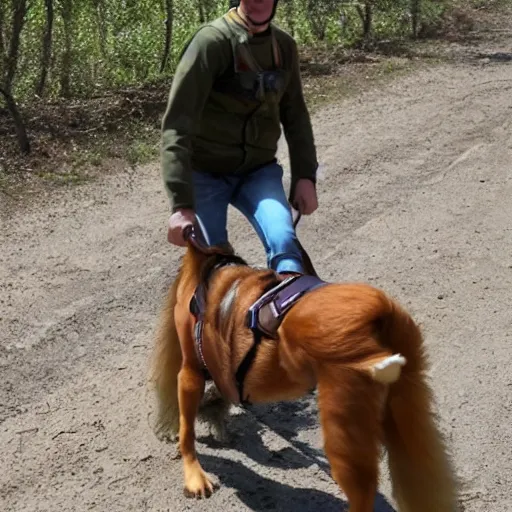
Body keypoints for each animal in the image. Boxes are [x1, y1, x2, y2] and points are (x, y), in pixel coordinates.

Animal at [149, 232, 460, 512]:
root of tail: (380, 310)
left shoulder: (190, 372)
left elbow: (187, 429)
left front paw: (194, 474)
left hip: (341, 423)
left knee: (363, 493)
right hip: (402, 410)